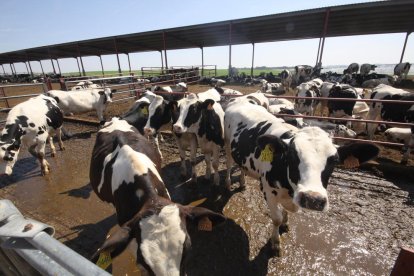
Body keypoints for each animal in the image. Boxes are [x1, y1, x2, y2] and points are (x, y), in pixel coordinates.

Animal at [225, 101, 380, 254]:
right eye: (292, 155)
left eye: (335, 161)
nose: (312, 199)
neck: (289, 188)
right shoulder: (268, 192)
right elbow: (276, 219)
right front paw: (276, 243)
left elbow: (285, 213)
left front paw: (285, 223)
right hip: (227, 146)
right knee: (228, 164)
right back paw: (228, 183)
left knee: (242, 167)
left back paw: (242, 183)